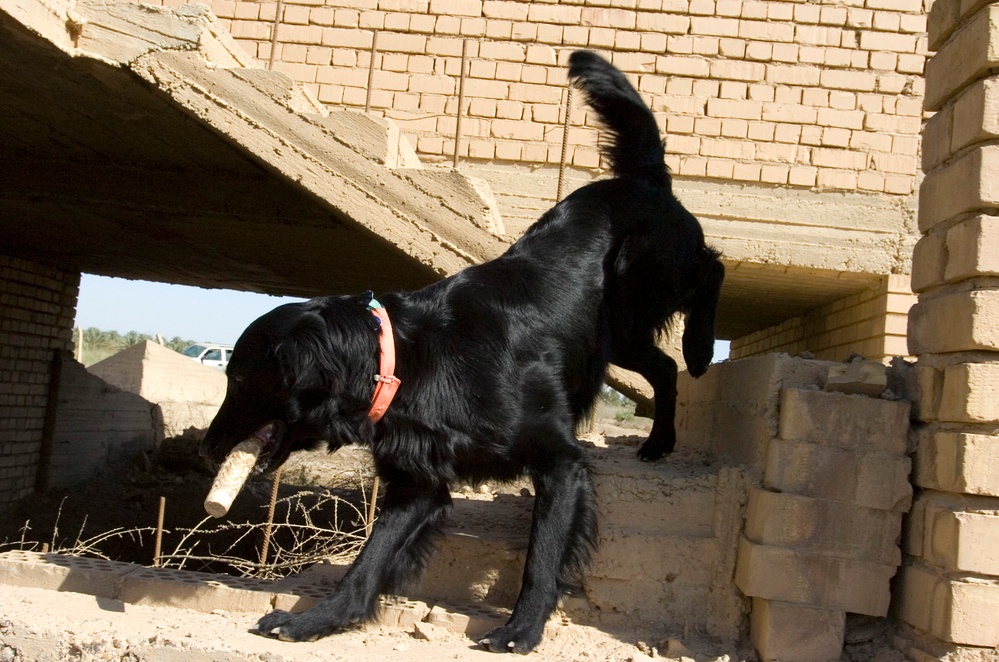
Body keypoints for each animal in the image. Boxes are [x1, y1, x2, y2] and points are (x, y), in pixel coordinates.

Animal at [201, 52, 720, 652]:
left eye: (240, 379)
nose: (206, 450)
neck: (403, 361)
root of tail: (642, 181)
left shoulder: (561, 463)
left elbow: (542, 556)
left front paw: (522, 629)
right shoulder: (417, 483)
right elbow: (366, 565)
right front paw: (317, 620)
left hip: (646, 283)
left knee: (711, 272)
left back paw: (700, 350)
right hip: (621, 336)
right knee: (664, 365)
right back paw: (659, 441)